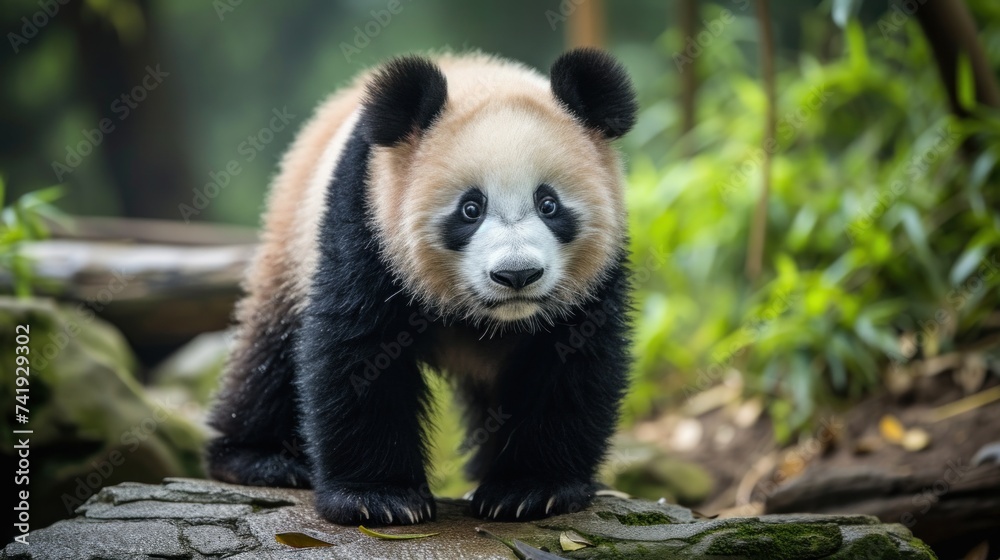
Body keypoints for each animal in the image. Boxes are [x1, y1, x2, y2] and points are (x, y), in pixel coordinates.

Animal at [206, 48, 637, 526]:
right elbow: (358, 346)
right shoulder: (367, 219)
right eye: (470, 208)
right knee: (271, 354)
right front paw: (378, 498)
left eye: (548, 204)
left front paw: (531, 489)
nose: (517, 275)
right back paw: (259, 458)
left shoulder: (596, 276)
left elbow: (570, 361)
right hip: (292, 240)